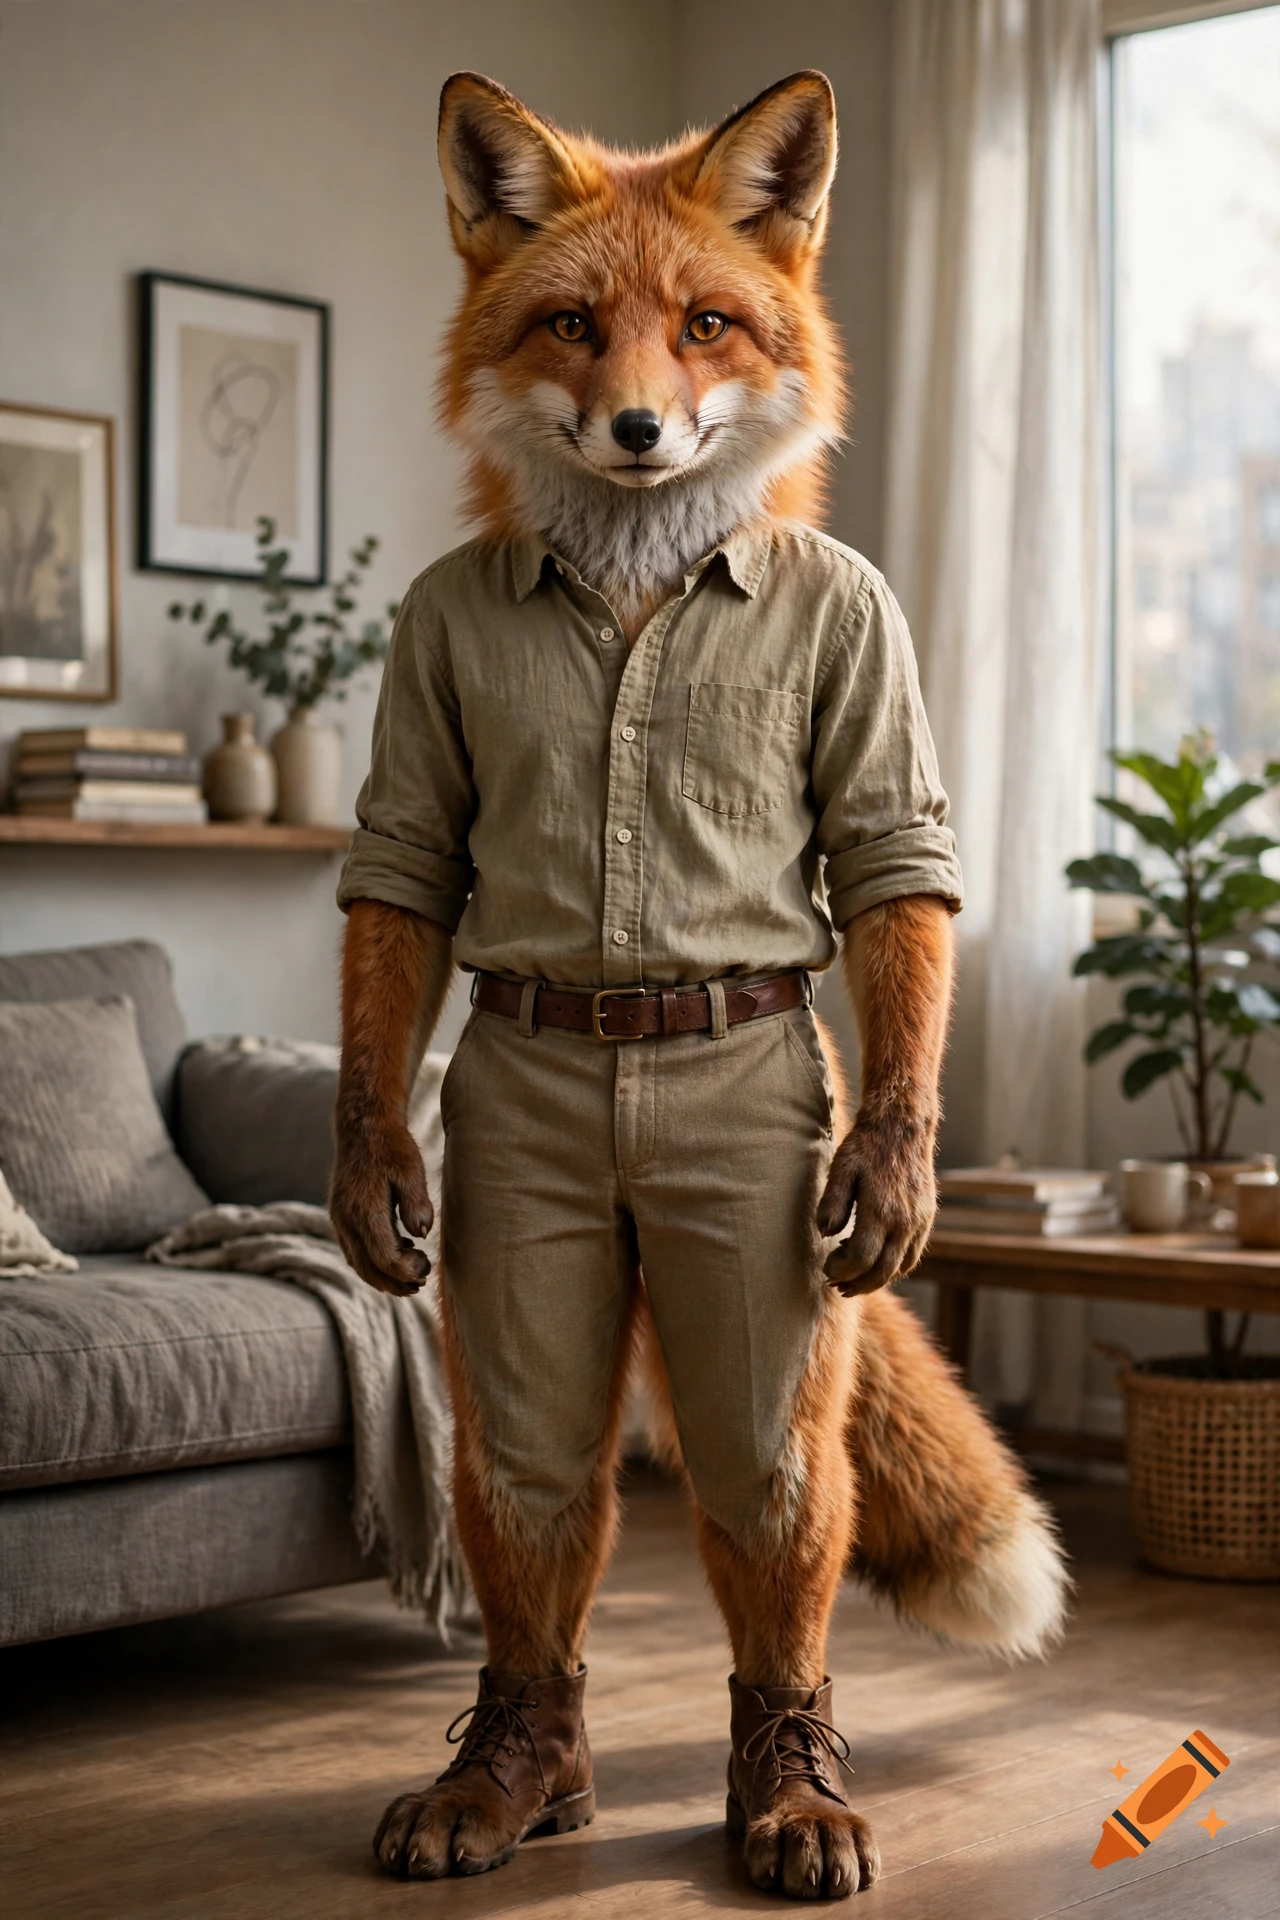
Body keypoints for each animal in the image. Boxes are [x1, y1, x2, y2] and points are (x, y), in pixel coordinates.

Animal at [330, 67, 1069, 1901]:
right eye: (575, 328)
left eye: (708, 327)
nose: (639, 434)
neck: (635, 573)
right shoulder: (419, 752)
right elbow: (405, 865)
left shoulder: (875, 694)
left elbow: (887, 852)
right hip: (533, 1324)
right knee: (545, 1515)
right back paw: (524, 1774)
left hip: (758, 1328)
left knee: (766, 1502)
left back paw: (784, 1793)